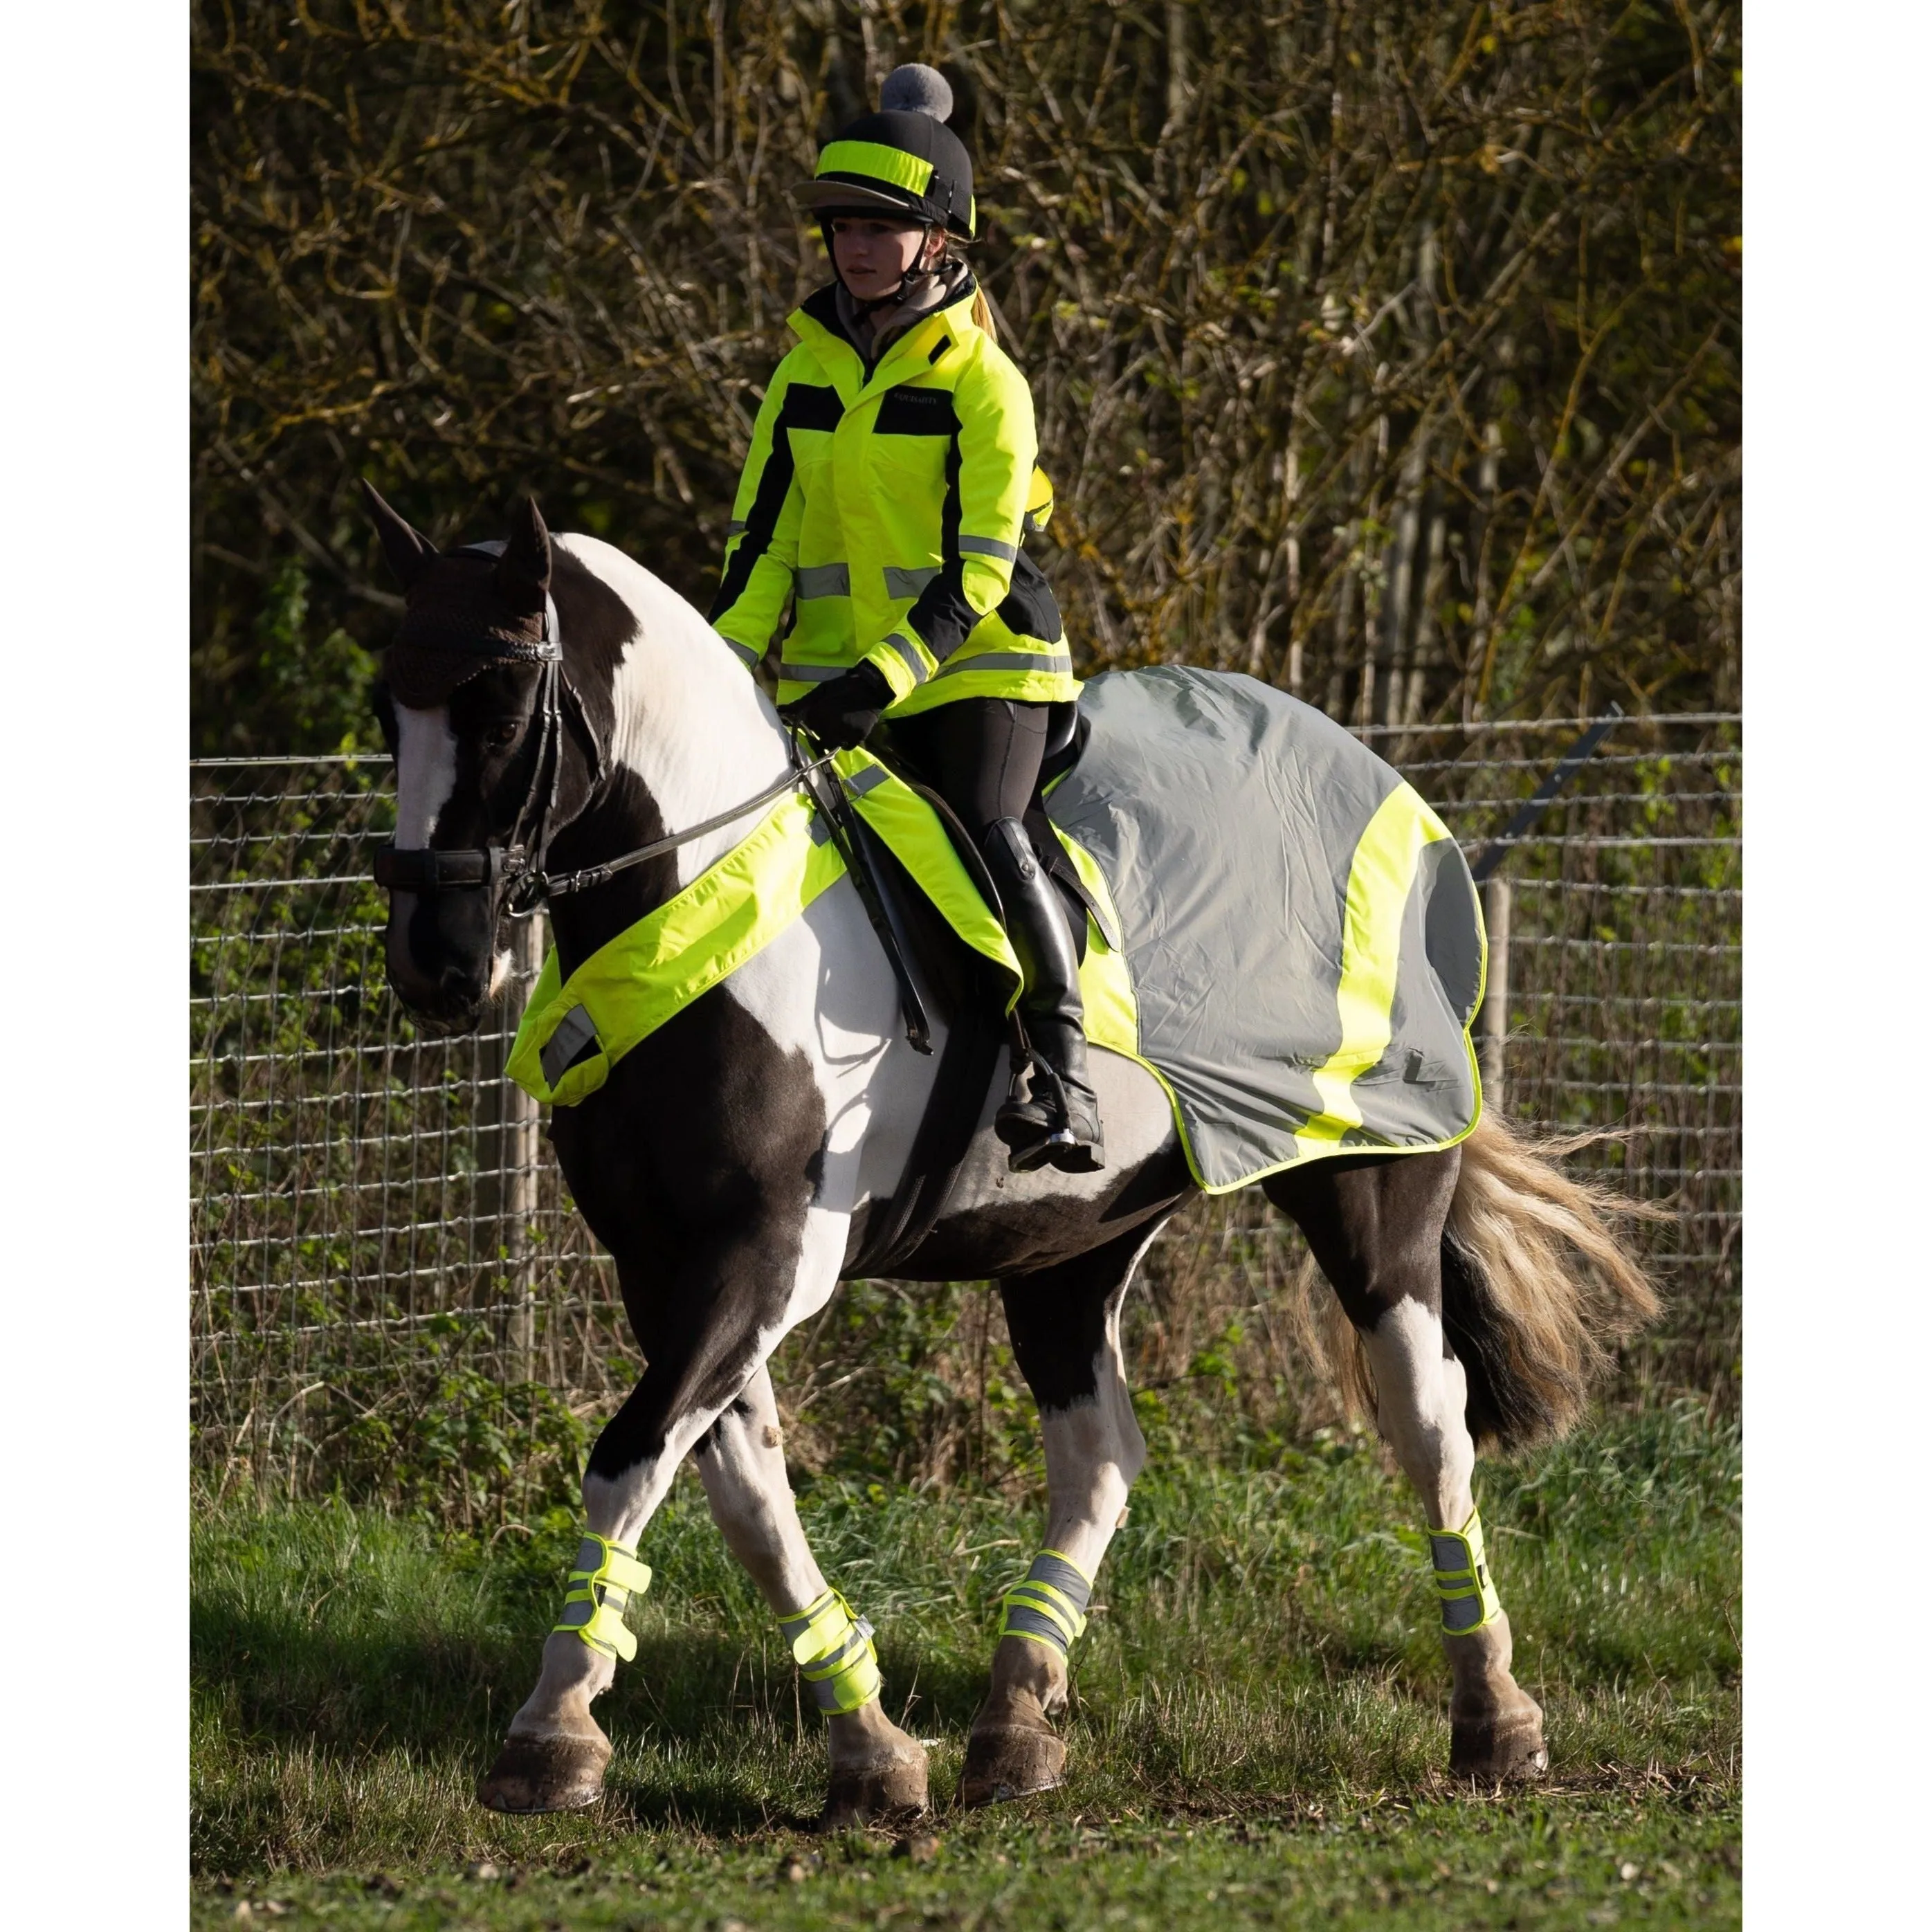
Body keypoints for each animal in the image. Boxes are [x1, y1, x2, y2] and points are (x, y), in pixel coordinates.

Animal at [365, 486, 1661, 1823]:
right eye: (386, 709)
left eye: (498, 710)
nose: (436, 962)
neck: (711, 907)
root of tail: (1394, 787)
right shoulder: (668, 1268)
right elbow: (746, 1497)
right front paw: (871, 1751)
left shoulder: (765, 1259)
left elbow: (631, 1463)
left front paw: (550, 1730)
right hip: (1072, 1243)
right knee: (1102, 1457)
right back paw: (1016, 1718)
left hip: (1373, 1201)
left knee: (1430, 1426)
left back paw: (1495, 1717)